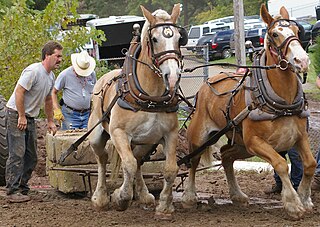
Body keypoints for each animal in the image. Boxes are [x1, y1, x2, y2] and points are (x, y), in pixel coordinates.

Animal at [87, 3, 184, 220]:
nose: (173, 77)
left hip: (146, 143)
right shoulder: (118, 133)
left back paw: (144, 195)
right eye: (154, 39)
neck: (151, 97)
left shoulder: (170, 134)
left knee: (138, 160)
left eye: (178, 38)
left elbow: (170, 169)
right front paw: (120, 198)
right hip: (97, 136)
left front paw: (164, 206)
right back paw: (100, 198)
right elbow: (128, 164)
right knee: (103, 160)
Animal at [181, 3, 316, 220]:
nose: (302, 60)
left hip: (241, 144)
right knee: (193, 161)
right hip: (200, 138)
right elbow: (280, 163)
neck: (282, 102)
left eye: (297, 31)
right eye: (274, 34)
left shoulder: (299, 136)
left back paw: (237, 194)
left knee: (226, 156)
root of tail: (206, 86)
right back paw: (189, 197)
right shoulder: (255, 142)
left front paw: (305, 199)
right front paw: (293, 204)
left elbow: (310, 164)